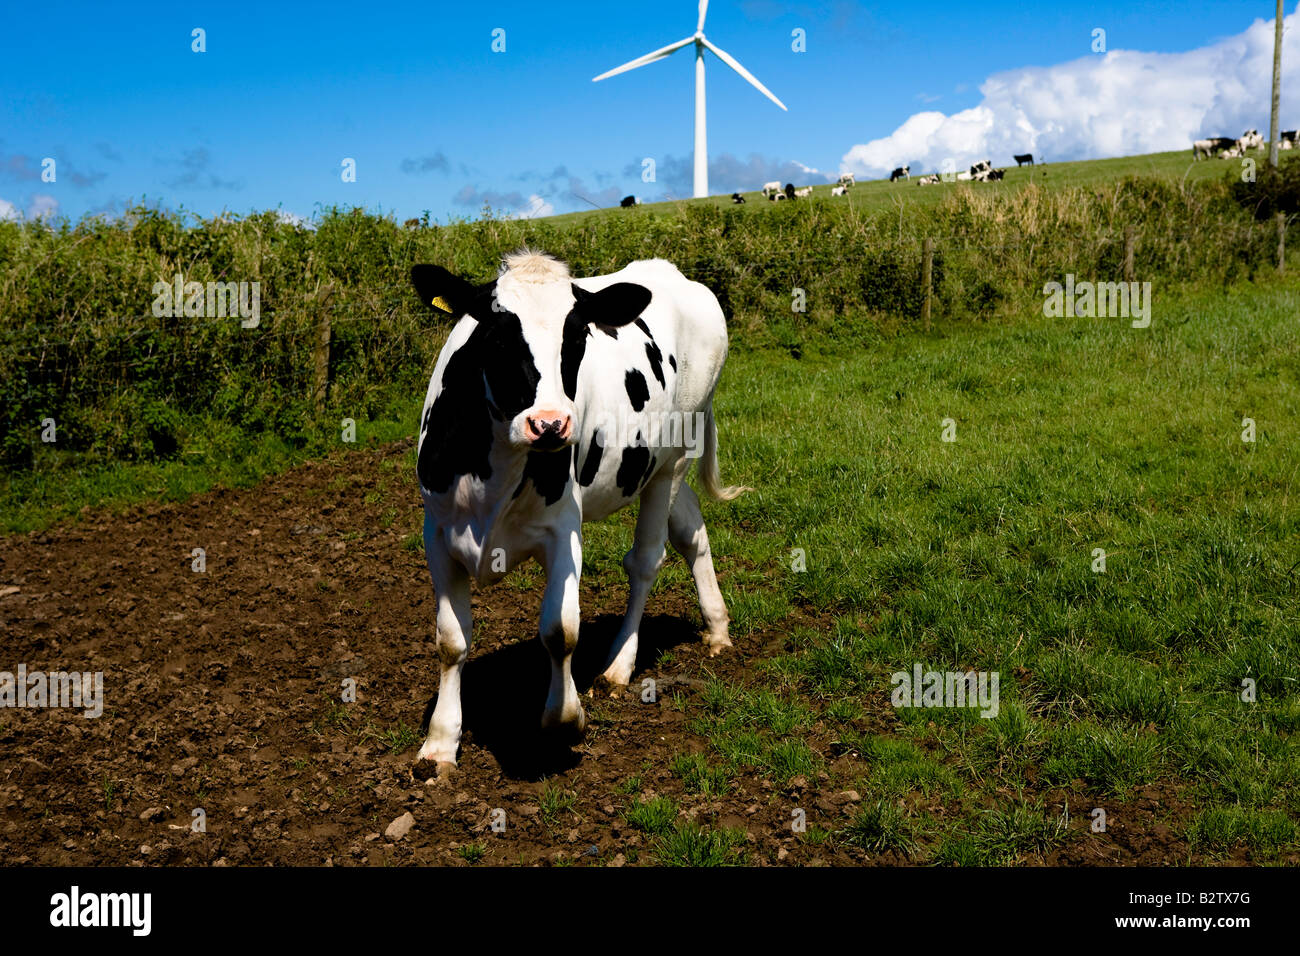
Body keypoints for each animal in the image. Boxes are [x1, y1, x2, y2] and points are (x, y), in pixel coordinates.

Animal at [407, 251, 747, 773]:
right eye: (496, 335)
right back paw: (717, 626)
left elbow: (560, 630)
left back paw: (620, 664)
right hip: (656, 464)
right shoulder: (437, 530)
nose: (549, 424)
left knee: (647, 560)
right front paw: (441, 742)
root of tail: (671, 271)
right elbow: (451, 640)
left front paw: (565, 718)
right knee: (691, 530)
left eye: (578, 335)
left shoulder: (563, 527)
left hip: (674, 456)